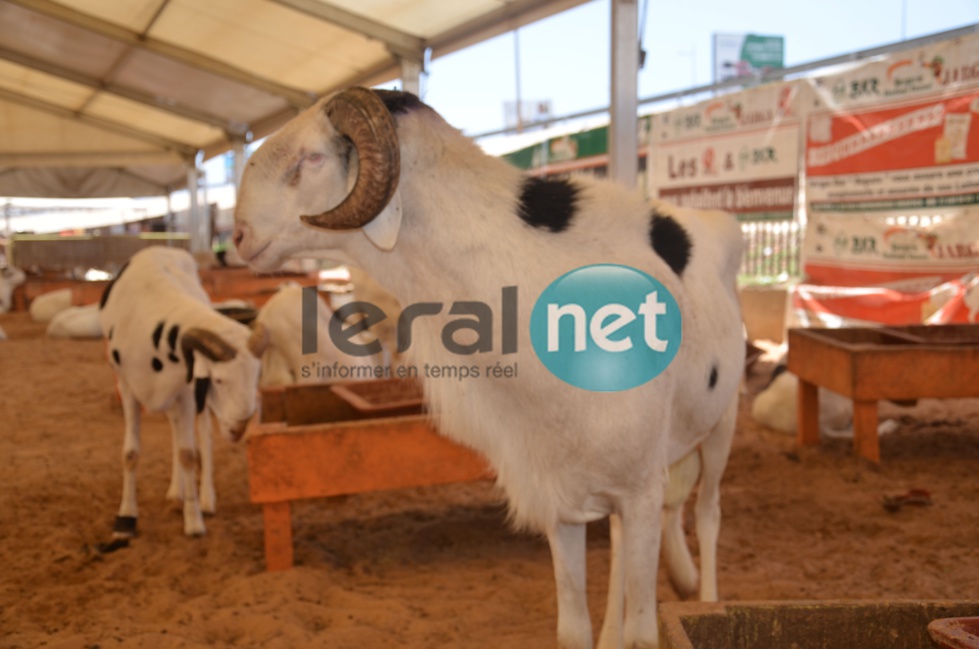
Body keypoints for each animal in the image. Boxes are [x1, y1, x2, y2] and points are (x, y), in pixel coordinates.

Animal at [100, 247, 268, 536]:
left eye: (257, 377)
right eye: (218, 380)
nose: (239, 430)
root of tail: (163, 249)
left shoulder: (188, 393)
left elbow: (188, 453)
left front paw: (193, 520)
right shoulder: (127, 386)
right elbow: (131, 453)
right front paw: (125, 518)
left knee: (203, 438)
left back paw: (205, 499)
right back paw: (176, 490)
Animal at [235, 87, 744, 648]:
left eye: (312, 158)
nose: (237, 235)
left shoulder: (642, 491)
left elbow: (646, 634)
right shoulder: (562, 496)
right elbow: (573, 628)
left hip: (720, 426)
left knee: (710, 514)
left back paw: (709, 597)